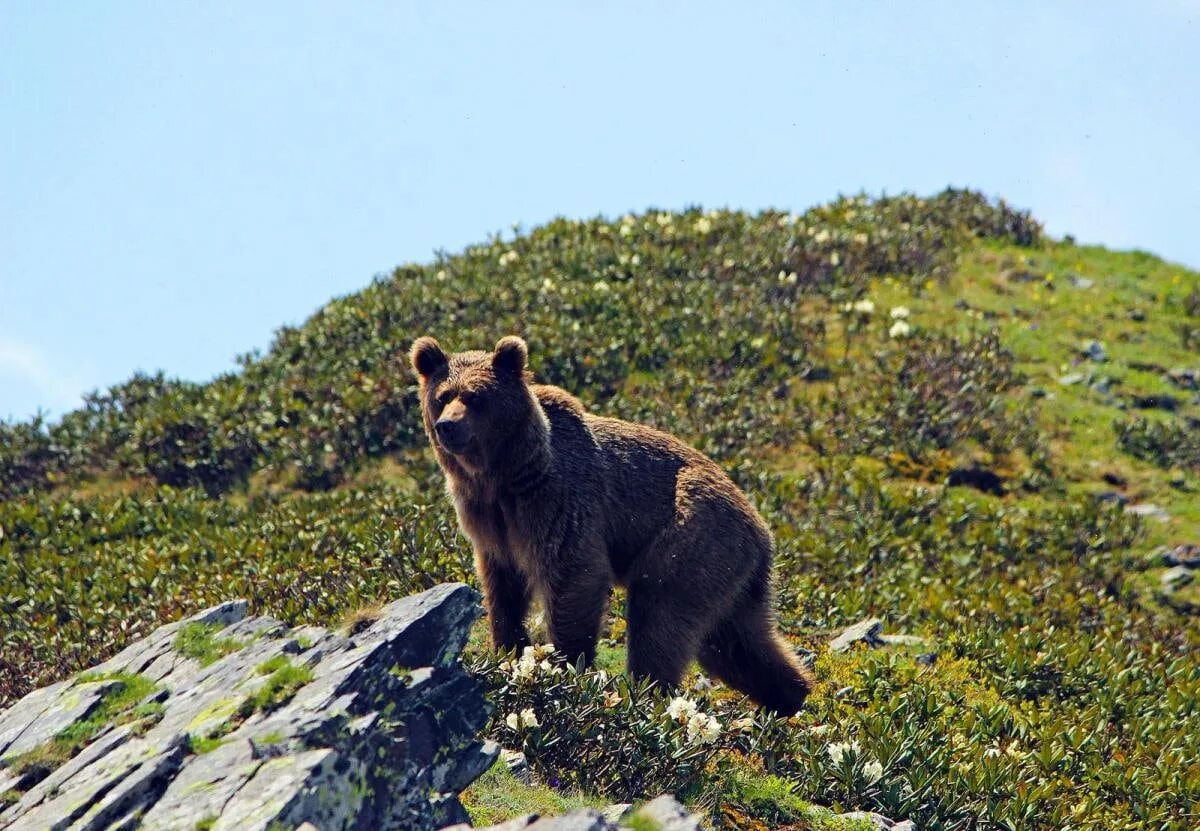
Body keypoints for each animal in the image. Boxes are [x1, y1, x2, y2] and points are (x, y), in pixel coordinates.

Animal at [408, 333, 811, 710]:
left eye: (476, 397)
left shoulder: (559, 500)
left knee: (660, 618)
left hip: (694, 539)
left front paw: (564, 667)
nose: (447, 426)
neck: (504, 475)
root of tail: (762, 530)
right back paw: (791, 696)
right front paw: (508, 649)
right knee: (734, 642)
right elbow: (502, 587)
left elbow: (574, 575)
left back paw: (647, 695)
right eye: (442, 396)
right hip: (730, 574)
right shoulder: (489, 521)